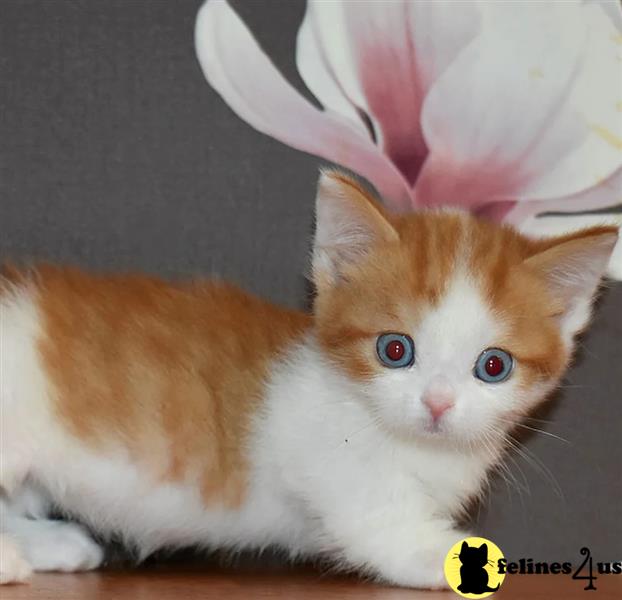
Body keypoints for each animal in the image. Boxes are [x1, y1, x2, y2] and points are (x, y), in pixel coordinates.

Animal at [0, 169, 620, 584]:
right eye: (395, 350)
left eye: (494, 366)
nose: (438, 404)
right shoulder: (320, 457)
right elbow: (370, 510)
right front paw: (436, 552)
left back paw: (47, 546)